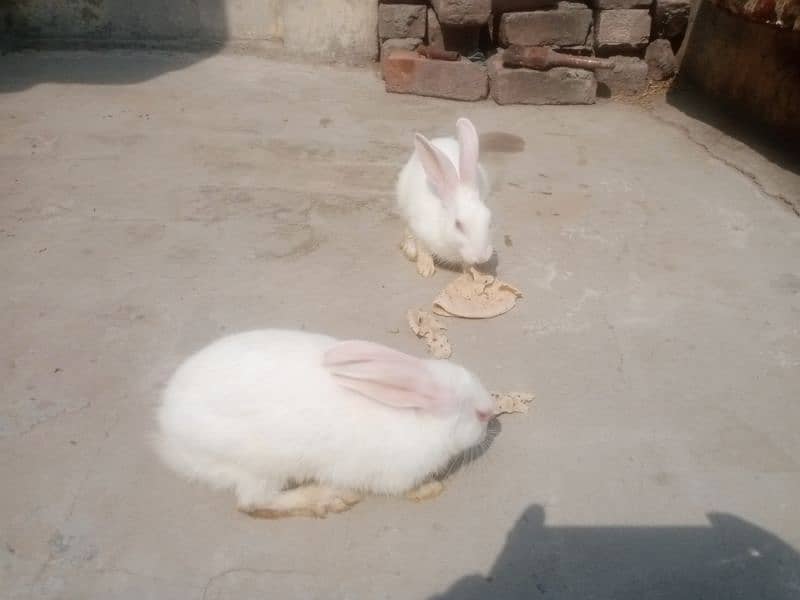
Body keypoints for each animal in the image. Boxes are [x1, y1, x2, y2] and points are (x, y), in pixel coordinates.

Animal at [156, 328, 494, 520]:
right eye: (479, 415)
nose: (491, 412)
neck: (414, 415)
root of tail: (166, 428)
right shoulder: (395, 474)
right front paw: (430, 489)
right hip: (257, 464)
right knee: (253, 502)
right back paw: (329, 498)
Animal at [396, 116, 490, 276]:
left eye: (489, 220)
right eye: (458, 224)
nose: (482, 257)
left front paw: (472, 273)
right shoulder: (420, 229)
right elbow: (423, 249)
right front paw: (425, 269)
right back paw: (409, 250)